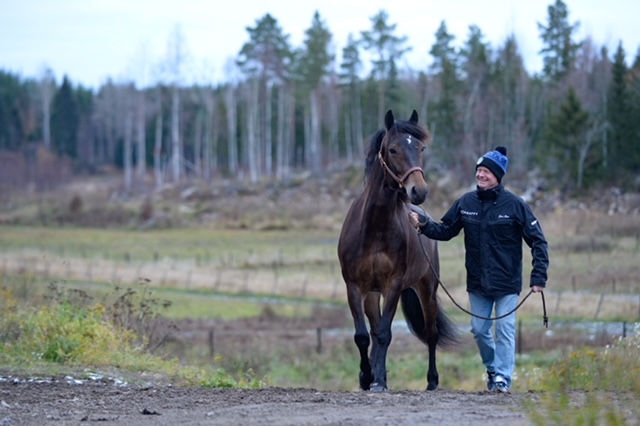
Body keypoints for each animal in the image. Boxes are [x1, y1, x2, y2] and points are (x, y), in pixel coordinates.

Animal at [338, 108, 458, 392]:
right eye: (393, 150)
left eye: (421, 148)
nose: (419, 190)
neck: (374, 227)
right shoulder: (354, 286)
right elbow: (363, 336)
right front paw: (366, 376)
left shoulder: (393, 285)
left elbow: (384, 334)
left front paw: (379, 380)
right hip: (372, 293)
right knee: (372, 330)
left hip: (427, 288)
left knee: (431, 333)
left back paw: (432, 381)